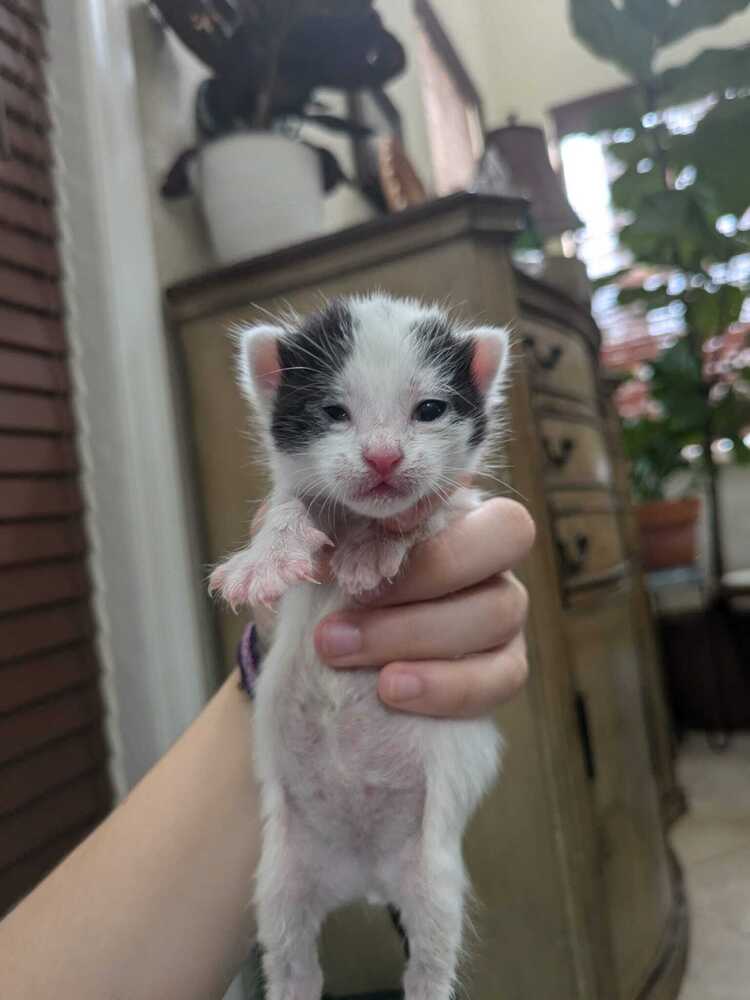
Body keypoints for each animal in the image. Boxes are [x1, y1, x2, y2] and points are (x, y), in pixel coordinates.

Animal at [214, 292, 516, 1000]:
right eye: (333, 412)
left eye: (428, 409)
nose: (382, 459)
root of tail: (364, 876)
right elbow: (289, 504)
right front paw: (264, 559)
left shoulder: (463, 508)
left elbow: (429, 514)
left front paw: (377, 549)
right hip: (282, 879)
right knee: (292, 959)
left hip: (431, 875)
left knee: (429, 959)